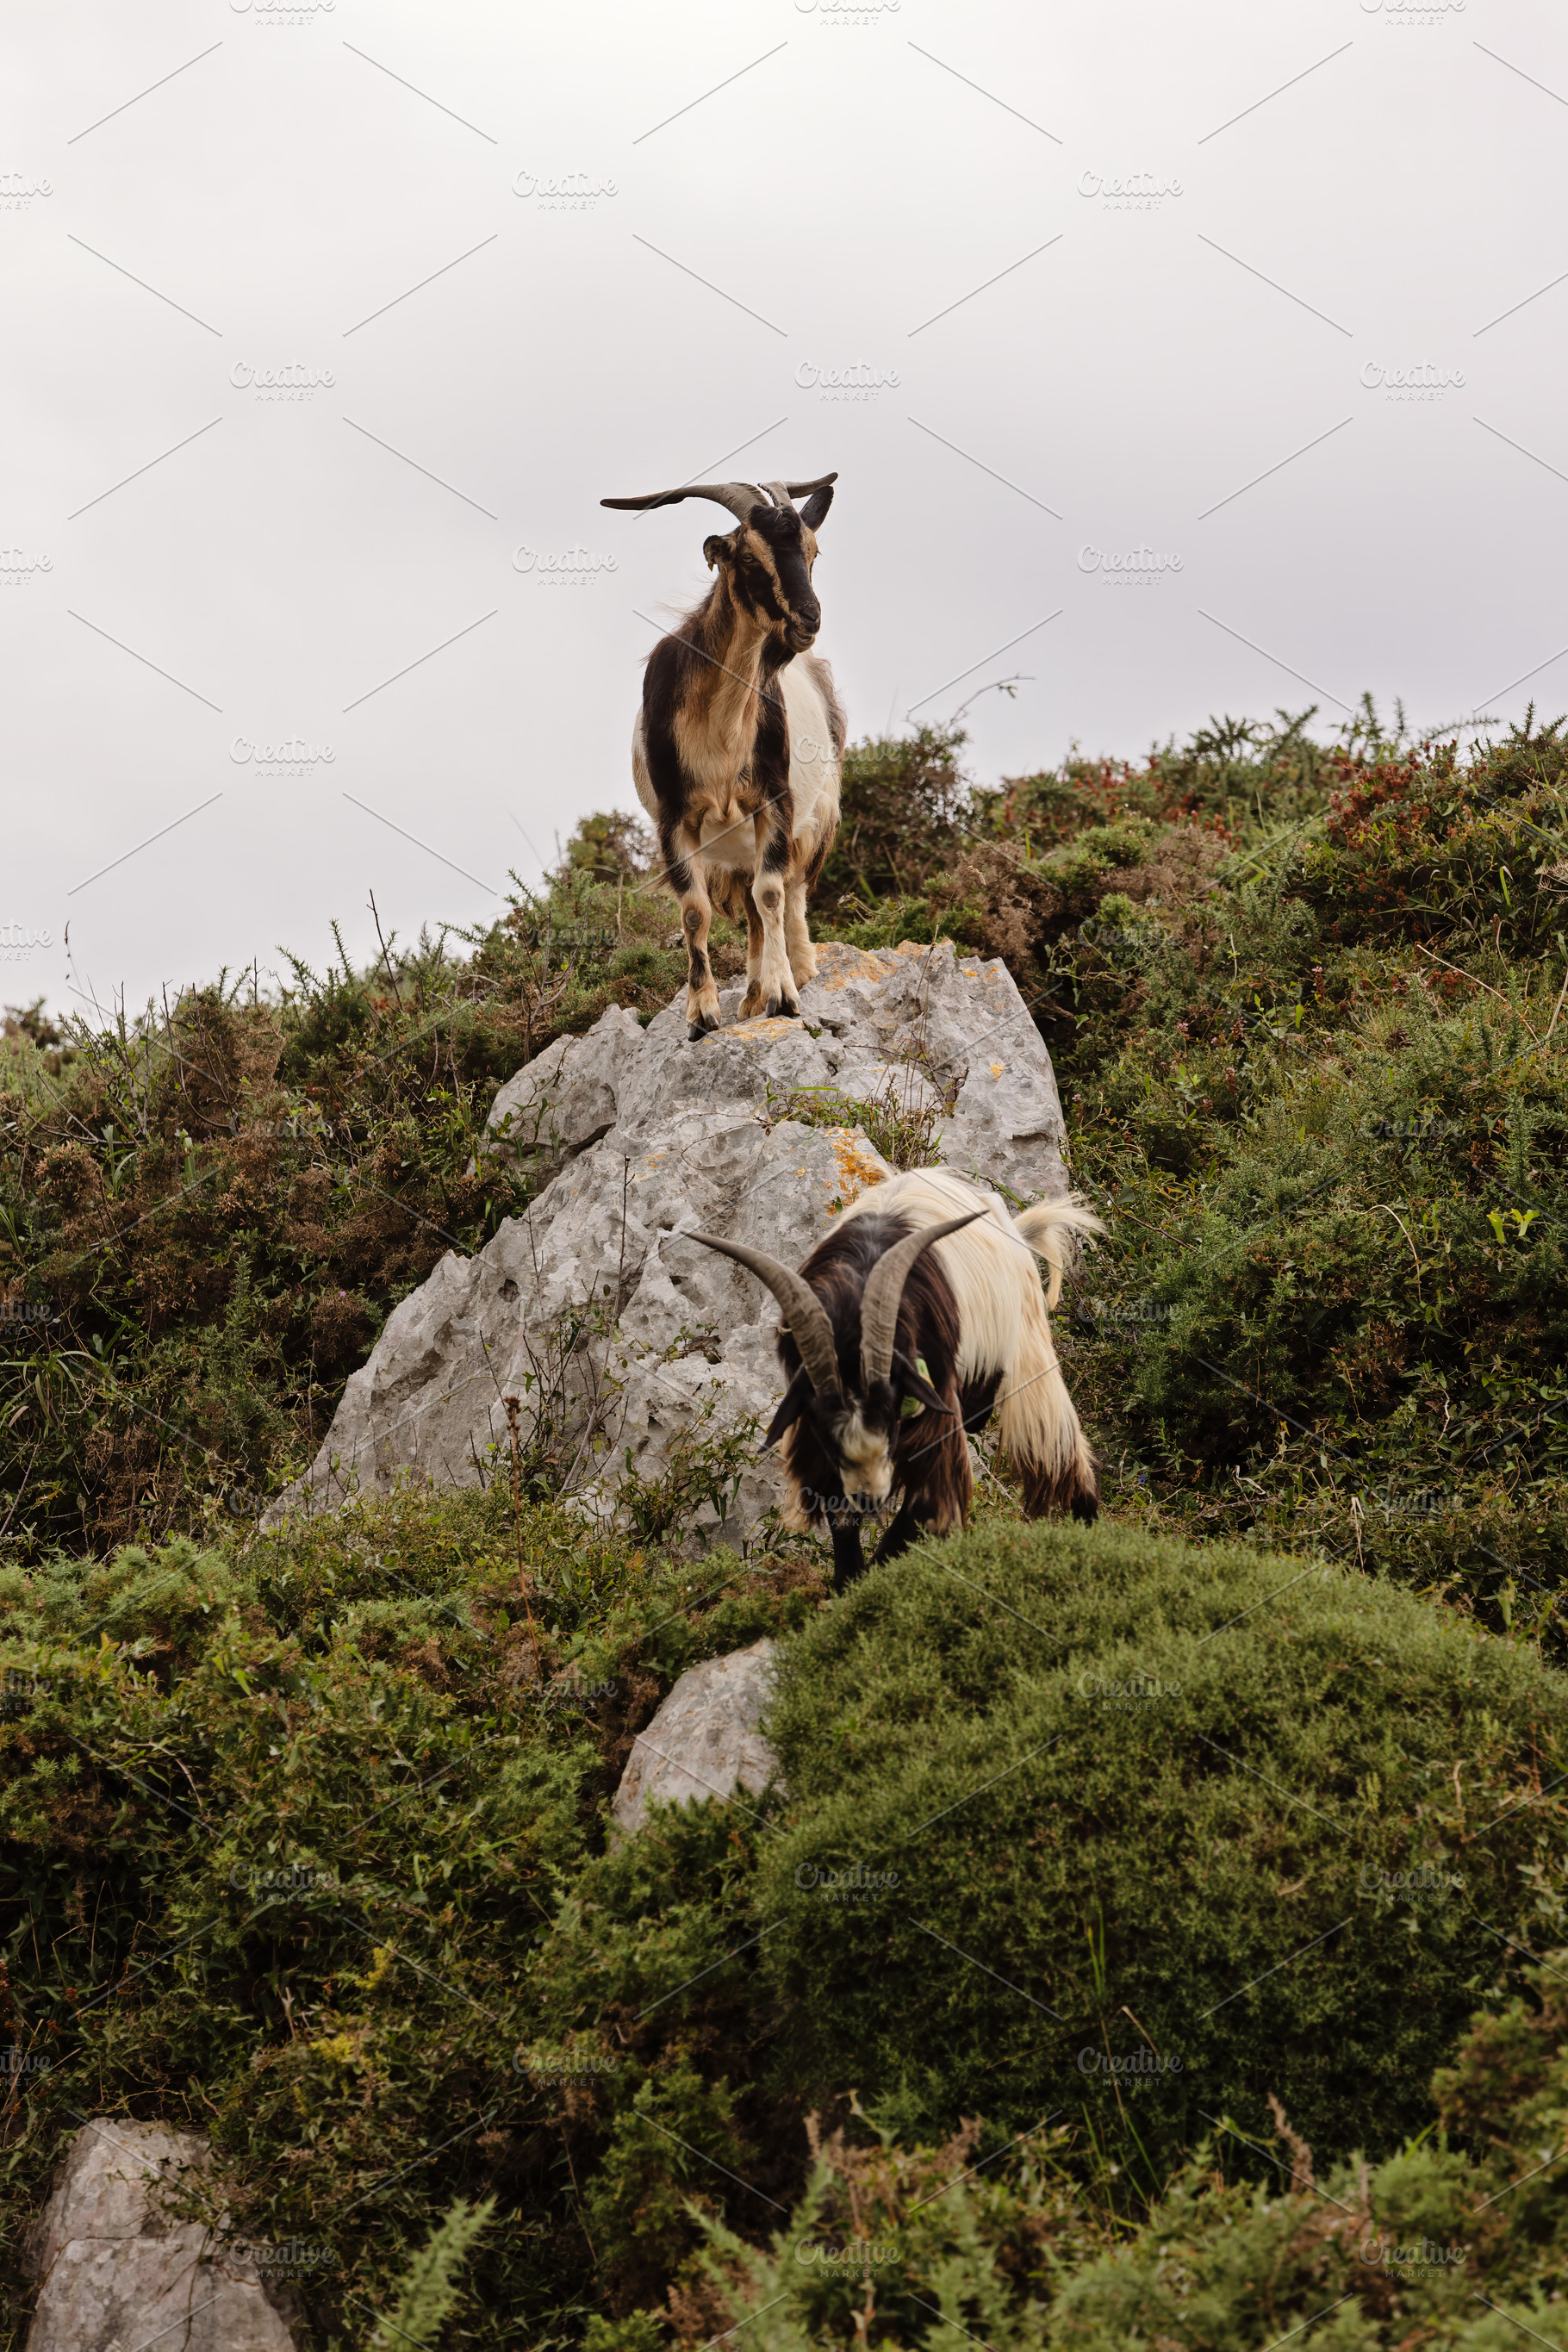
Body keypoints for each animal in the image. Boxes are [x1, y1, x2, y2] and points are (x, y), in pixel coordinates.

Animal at [600, 473, 844, 1041]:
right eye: (749, 557)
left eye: (812, 551)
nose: (809, 619)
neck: (719, 729)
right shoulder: (674, 822)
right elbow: (695, 912)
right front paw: (701, 1015)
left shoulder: (774, 804)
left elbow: (772, 894)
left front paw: (785, 996)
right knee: (752, 905)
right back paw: (751, 998)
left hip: (815, 820)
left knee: (787, 893)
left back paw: (797, 971)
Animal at [688, 1170, 1104, 1590]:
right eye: (825, 1426)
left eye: (890, 1411)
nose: (870, 1498)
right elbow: (842, 1519)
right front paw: (847, 1586)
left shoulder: (935, 1413)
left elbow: (920, 1510)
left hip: (1027, 1344)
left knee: (1056, 1443)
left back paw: (1091, 1532)